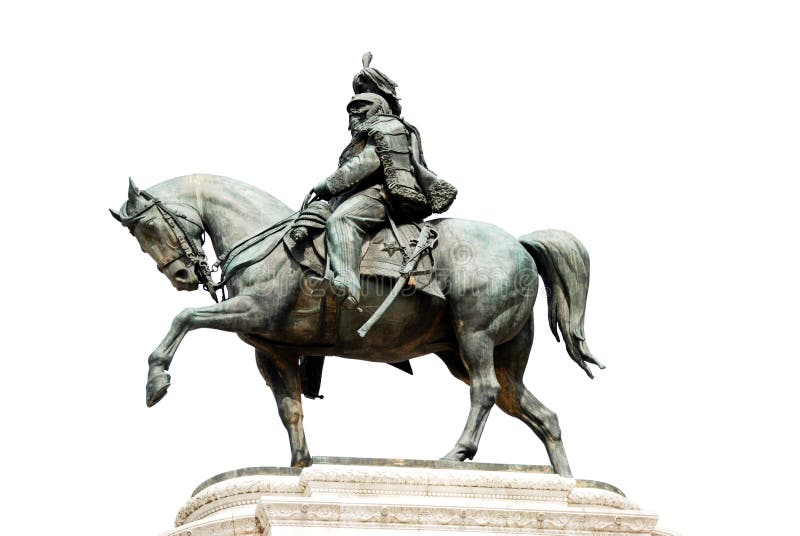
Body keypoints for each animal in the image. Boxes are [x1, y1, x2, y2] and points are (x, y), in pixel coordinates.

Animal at [109, 174, 604, 476]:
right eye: (140, 238)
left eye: (150, 228)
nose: (181, 276)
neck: (268, 243)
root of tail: (519, 243)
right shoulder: (273, 349)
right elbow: (289, 409)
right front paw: (301, 464)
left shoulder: (254, 311)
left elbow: (184, 318)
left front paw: (156, 380)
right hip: (487, 355)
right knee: (539, 413)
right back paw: (566, 482)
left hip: (475, 336)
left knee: (484, 391)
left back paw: (456, 454)